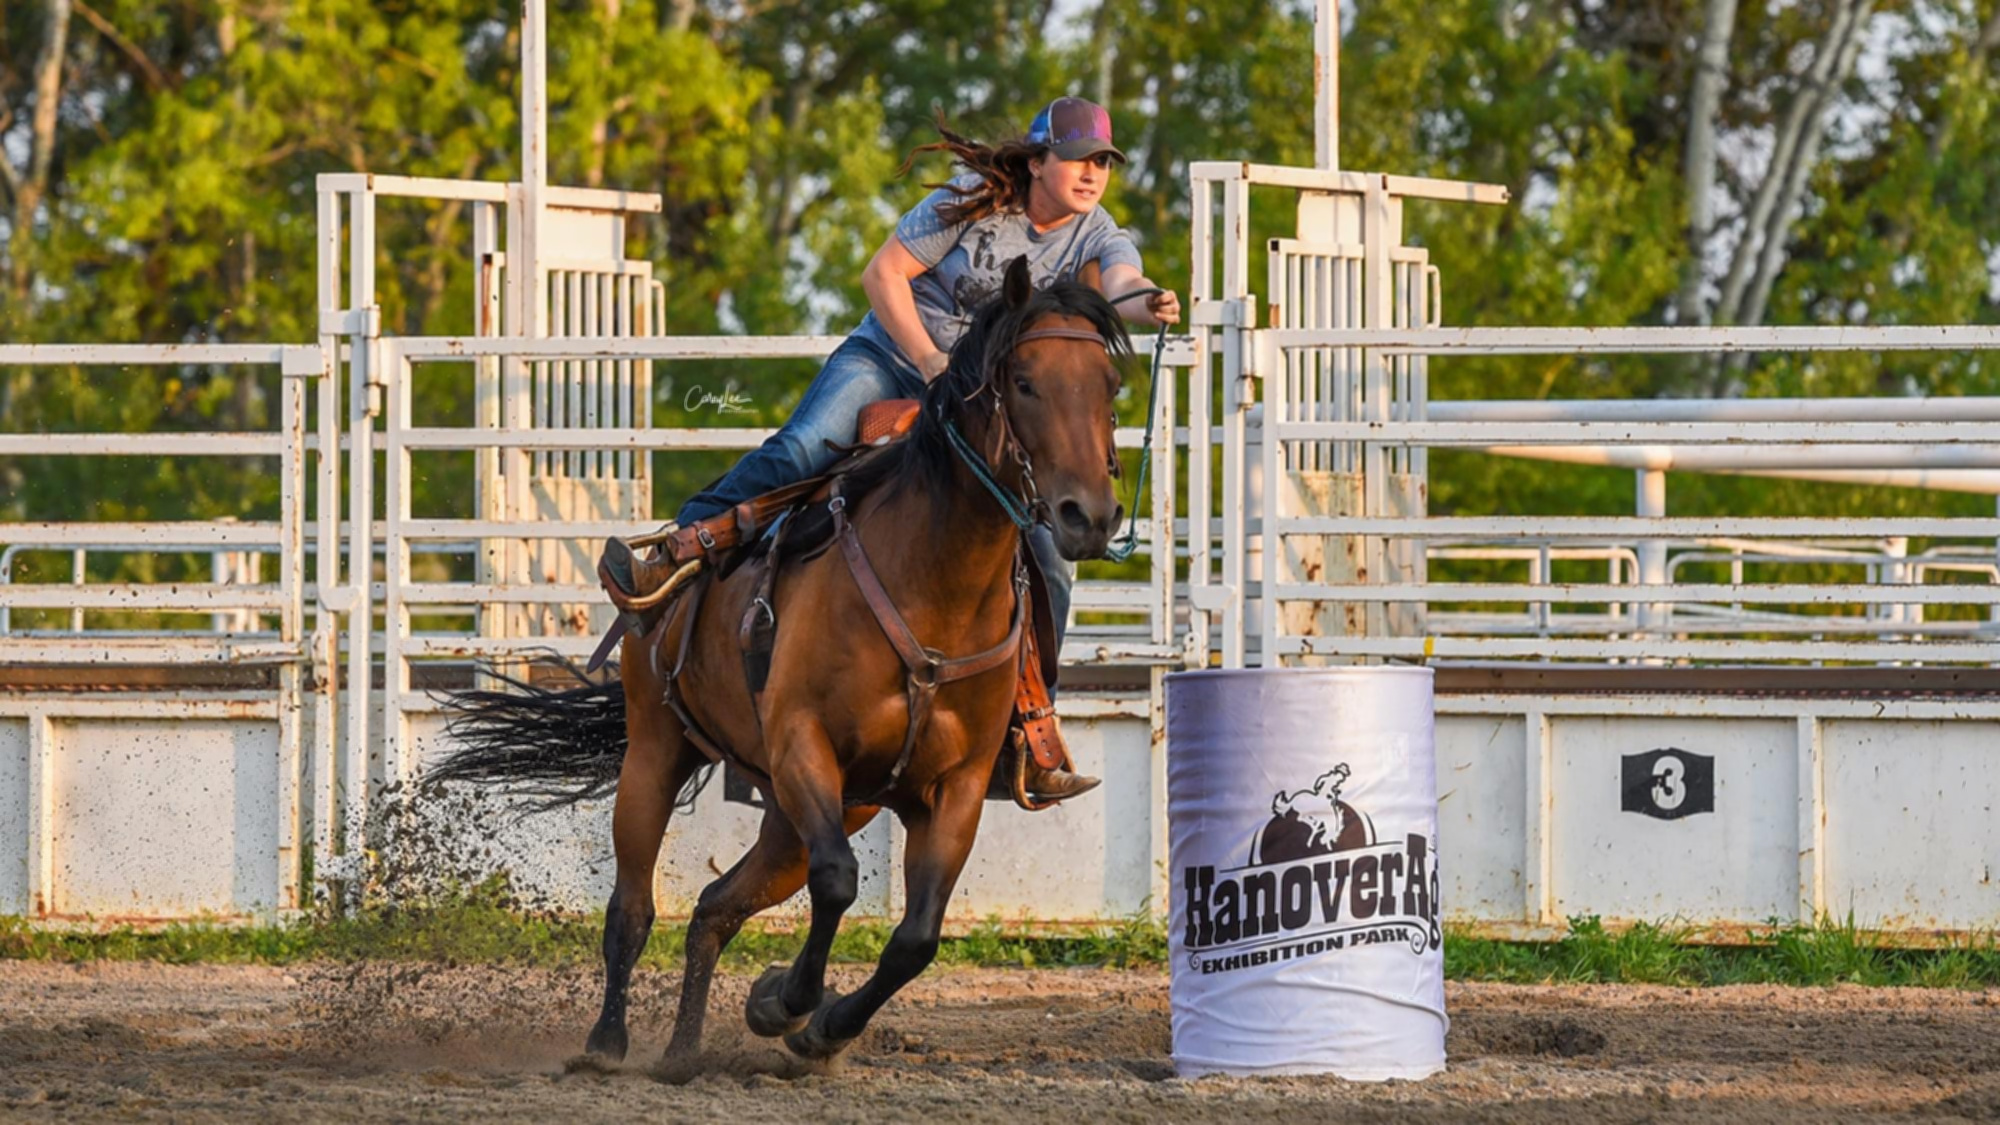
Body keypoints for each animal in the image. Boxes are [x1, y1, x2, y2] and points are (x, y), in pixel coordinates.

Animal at [432, 256, 1128, 1064]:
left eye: (1110, 384)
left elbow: (916, 937)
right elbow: (838, 883)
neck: (933, 585)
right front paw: (793, 1004)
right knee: (632, 907)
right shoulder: (802, 741)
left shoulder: (953, 787)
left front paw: (809, 1020)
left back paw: (682, 1054)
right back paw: (607, 1043)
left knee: (714, 905)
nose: (1090, 515)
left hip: (814, 810)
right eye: (1022, 380)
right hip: (659, 753)